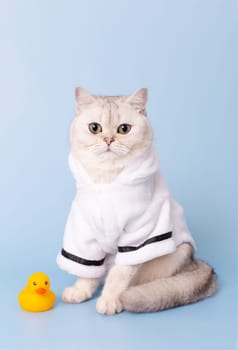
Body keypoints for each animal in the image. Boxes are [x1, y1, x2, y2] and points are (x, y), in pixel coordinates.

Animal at [56, 87, 217, 314]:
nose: (108, 140)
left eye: (124, 129)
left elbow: (119, 276)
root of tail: (195, 263)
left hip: (173, 254)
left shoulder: (137, 237)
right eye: (94, 128)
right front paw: (81, 290)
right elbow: (87, 271)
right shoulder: (83, 235)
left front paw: (110, 300)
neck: (107, 182)